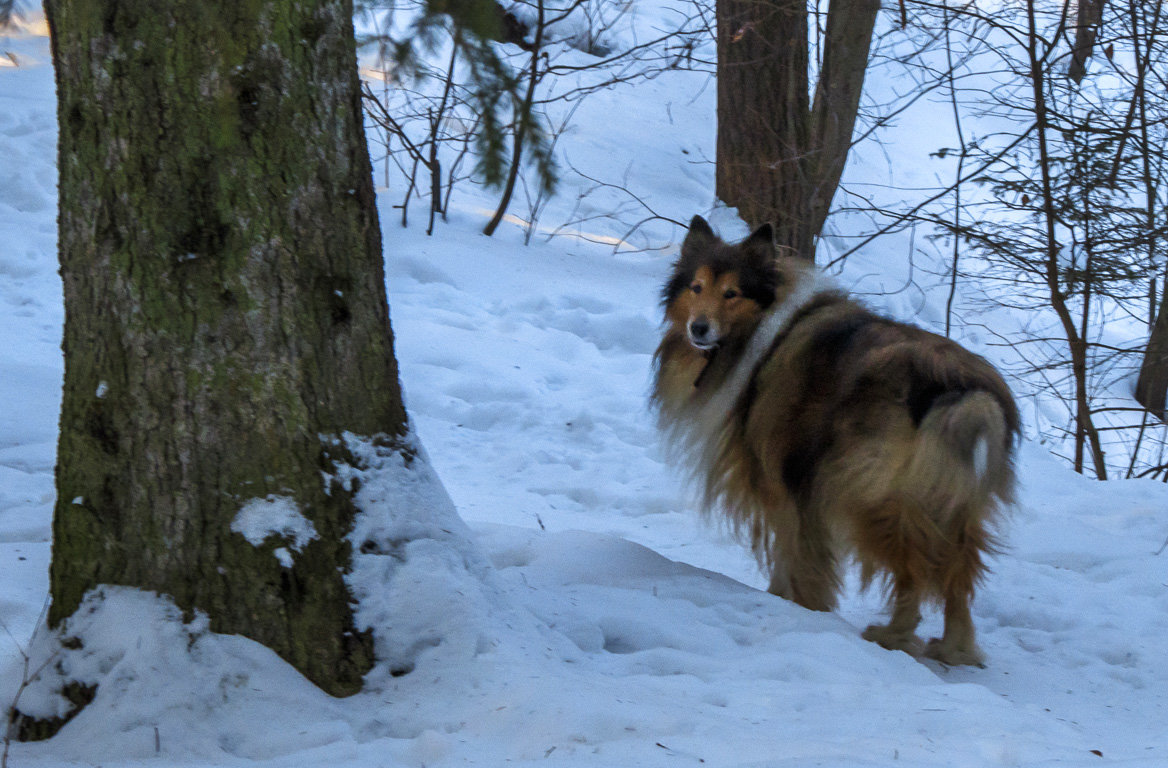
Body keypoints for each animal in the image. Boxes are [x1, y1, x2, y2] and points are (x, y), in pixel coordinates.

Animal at [654, 214, 1018, 662]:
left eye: (732, 293)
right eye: (696, 287)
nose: (699, 328)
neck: (762, 326)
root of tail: (965, 389)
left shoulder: (783, 479)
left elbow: (794, 552)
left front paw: (795, 603)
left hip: (872, 493)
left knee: (913, 570)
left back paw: (895, 635)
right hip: (953, 501)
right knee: (956, 577)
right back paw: (955, 649)